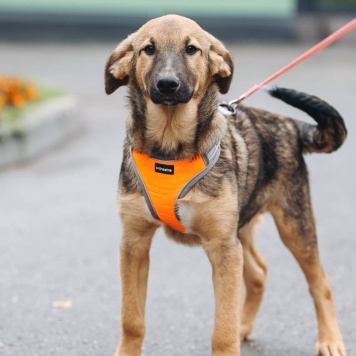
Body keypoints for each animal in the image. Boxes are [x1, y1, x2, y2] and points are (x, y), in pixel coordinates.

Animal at [104, 14, 346, 356]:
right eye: (148, 49)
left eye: (191, 49)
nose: (167, 84)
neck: (170, 148)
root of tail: (288, 123)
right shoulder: (134, 243)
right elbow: (131, 320)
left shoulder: (223, 249)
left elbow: (222, 329)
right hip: (241, 229)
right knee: (259, 274)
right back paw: (246, 327)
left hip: (293, 225)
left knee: (320, 281)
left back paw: (329, 340)